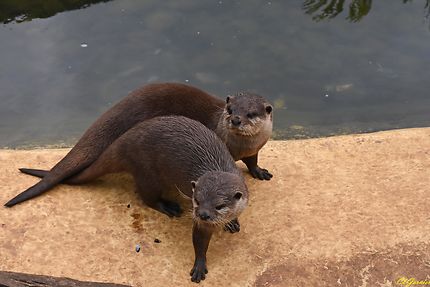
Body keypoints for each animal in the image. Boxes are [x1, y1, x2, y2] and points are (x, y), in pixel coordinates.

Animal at [3, 82, 270, 208]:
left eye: (251, 113)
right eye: (230, 109)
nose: (235, 119)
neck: (241, 146)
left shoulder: (254, 149)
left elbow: (253, 162)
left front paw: (260, 172)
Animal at [18, 117, 250, 284]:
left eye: (219, 206)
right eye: (197, 199)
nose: (202, 214)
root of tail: (124, 140)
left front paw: (232, 222)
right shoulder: (199, 223)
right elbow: (200, 241)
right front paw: (200, 266)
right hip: (147, 171)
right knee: (147, 197)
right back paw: (168, 206)